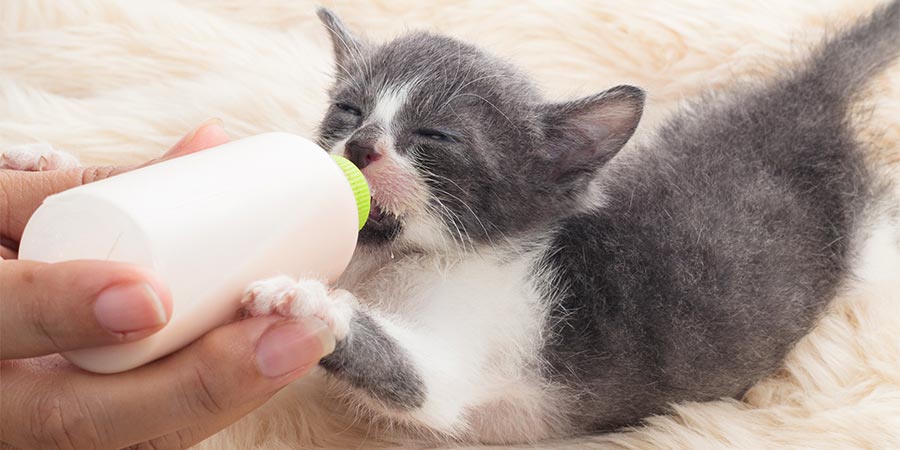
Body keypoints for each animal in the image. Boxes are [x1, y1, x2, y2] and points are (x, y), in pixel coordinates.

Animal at [241, 3, 900, 444]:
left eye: (436, 136)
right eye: (348, 110)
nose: (360, 144)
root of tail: (805, 105)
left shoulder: (468, 358)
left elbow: (413, 377)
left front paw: (302, 298)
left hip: (866, 229)